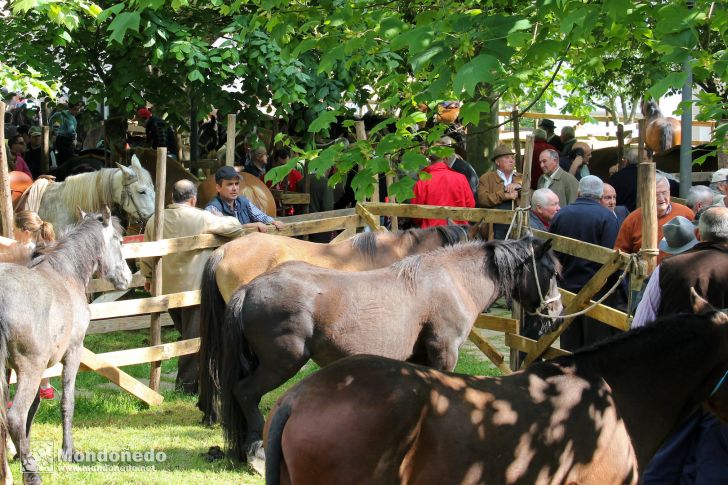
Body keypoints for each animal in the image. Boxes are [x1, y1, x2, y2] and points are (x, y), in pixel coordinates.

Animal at [0, 206, 132, 482]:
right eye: (120, 240)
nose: (127, 277)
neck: (64, 273)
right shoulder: (73, 352)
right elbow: (67, 402)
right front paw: (68, 451)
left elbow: (36, 405)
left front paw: (19, 453)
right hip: (31, 368)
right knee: (15, 416)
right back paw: (32, 474)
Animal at [213, 236, 560, 470]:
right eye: (553, 272)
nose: (555, 315)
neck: (452, 280)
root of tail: (250, 288)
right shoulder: (444, 353)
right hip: (281, 364)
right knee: (245, 393)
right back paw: (254, 448)